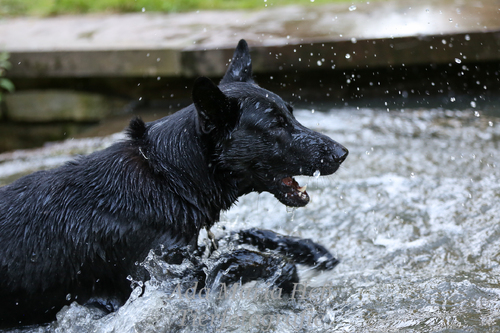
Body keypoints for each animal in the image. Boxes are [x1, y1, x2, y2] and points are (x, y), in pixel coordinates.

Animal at [0, 39, 348, 326]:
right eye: (275, 125)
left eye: (291, 114)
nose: (342, 153)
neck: (168, 178)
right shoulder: (164, 281)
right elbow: (238, 258)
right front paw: (283, 275)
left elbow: (241, 235)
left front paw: (307, 249)